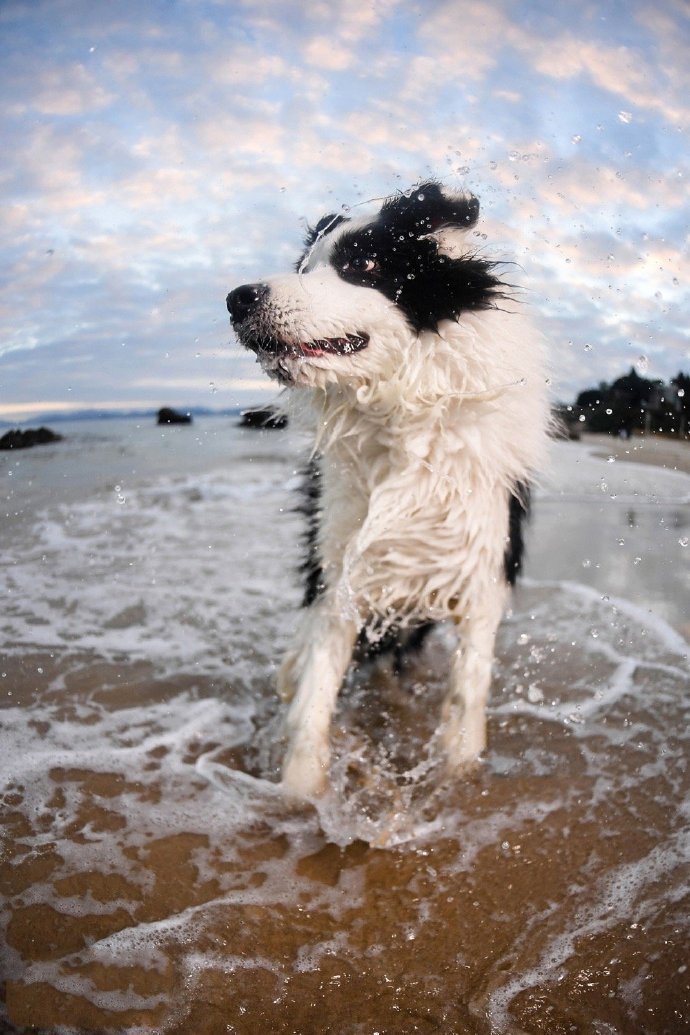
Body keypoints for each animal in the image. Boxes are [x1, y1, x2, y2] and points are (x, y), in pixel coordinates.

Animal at [227, 184, 550, 799]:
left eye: (365, 265)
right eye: (303, 267)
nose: (237, 298)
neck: (397, 414)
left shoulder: (481, 574)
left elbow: (466, 698)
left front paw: (458, 777)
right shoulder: (340, 574)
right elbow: (314, 698)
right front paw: (300, 796)